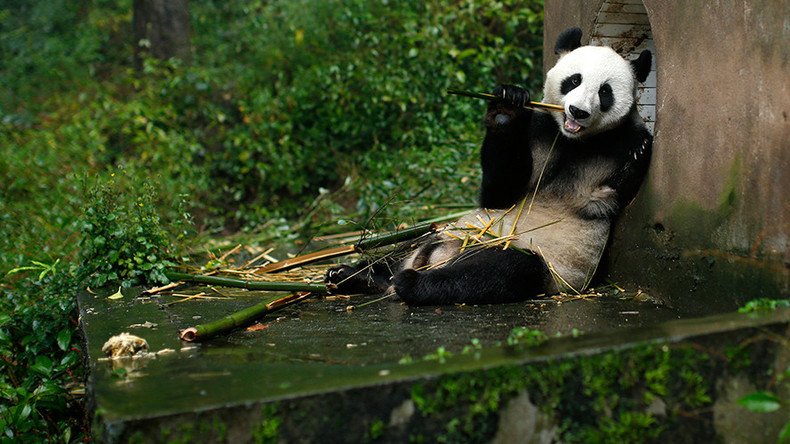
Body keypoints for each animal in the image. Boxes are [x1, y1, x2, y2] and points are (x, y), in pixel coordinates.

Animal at [324, 27, 652, 306]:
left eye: (605, 92)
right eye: (574, 80)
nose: (578, 111)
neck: (573, 140)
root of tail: (435, 256)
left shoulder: (616, 145)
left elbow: (618, 185)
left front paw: (638, 155)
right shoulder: (539, 130)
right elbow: (499, 193)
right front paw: (507, 107)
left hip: (537, 259)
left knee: (493, 272)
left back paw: (411, 283)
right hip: (444, 232)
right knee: (398, 248)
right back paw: (352, 275)